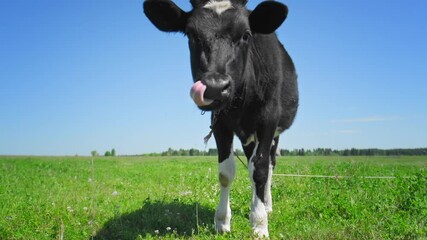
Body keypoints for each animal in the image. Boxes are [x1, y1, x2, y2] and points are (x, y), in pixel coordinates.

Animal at [144, 0, 298, 236]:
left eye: (246, 35)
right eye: (191, 34)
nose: (215, 87)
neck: (242, 101)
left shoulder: (268, 120)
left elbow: (261, 170)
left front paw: (259, 223)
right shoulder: (219, 124)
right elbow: (226, 173)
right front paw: (222, 221)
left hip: (275, 133)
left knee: (269, 165)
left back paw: (266, 205)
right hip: (247, 136)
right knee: (251, 163)